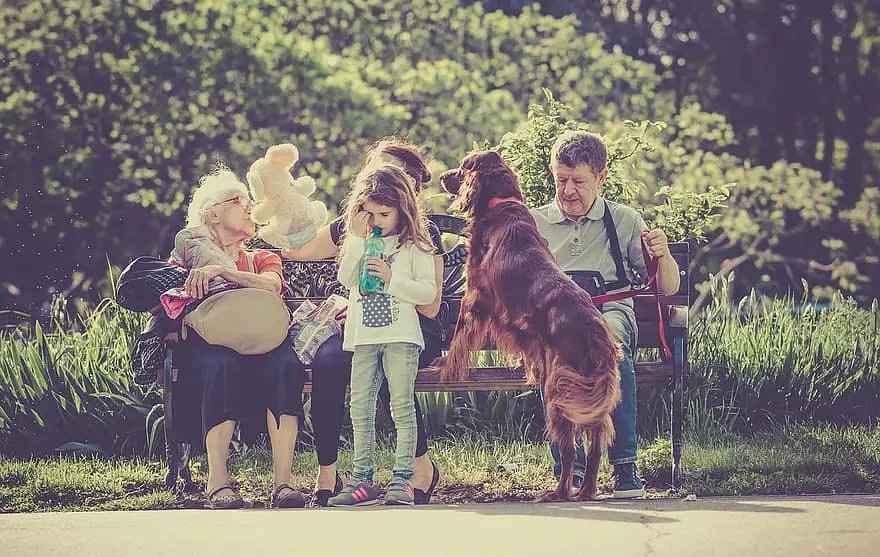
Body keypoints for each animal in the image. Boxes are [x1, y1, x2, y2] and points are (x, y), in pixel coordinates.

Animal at [438, 149, 620, 500]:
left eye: (464, 165)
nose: (441, 176)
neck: (501, 204)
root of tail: (595, 334)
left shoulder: (475, 296)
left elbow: (459, 338)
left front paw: (445, 367)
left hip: (559, 392)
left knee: (568, 448)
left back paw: (559, 493)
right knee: (593, 446)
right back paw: (586, 491)